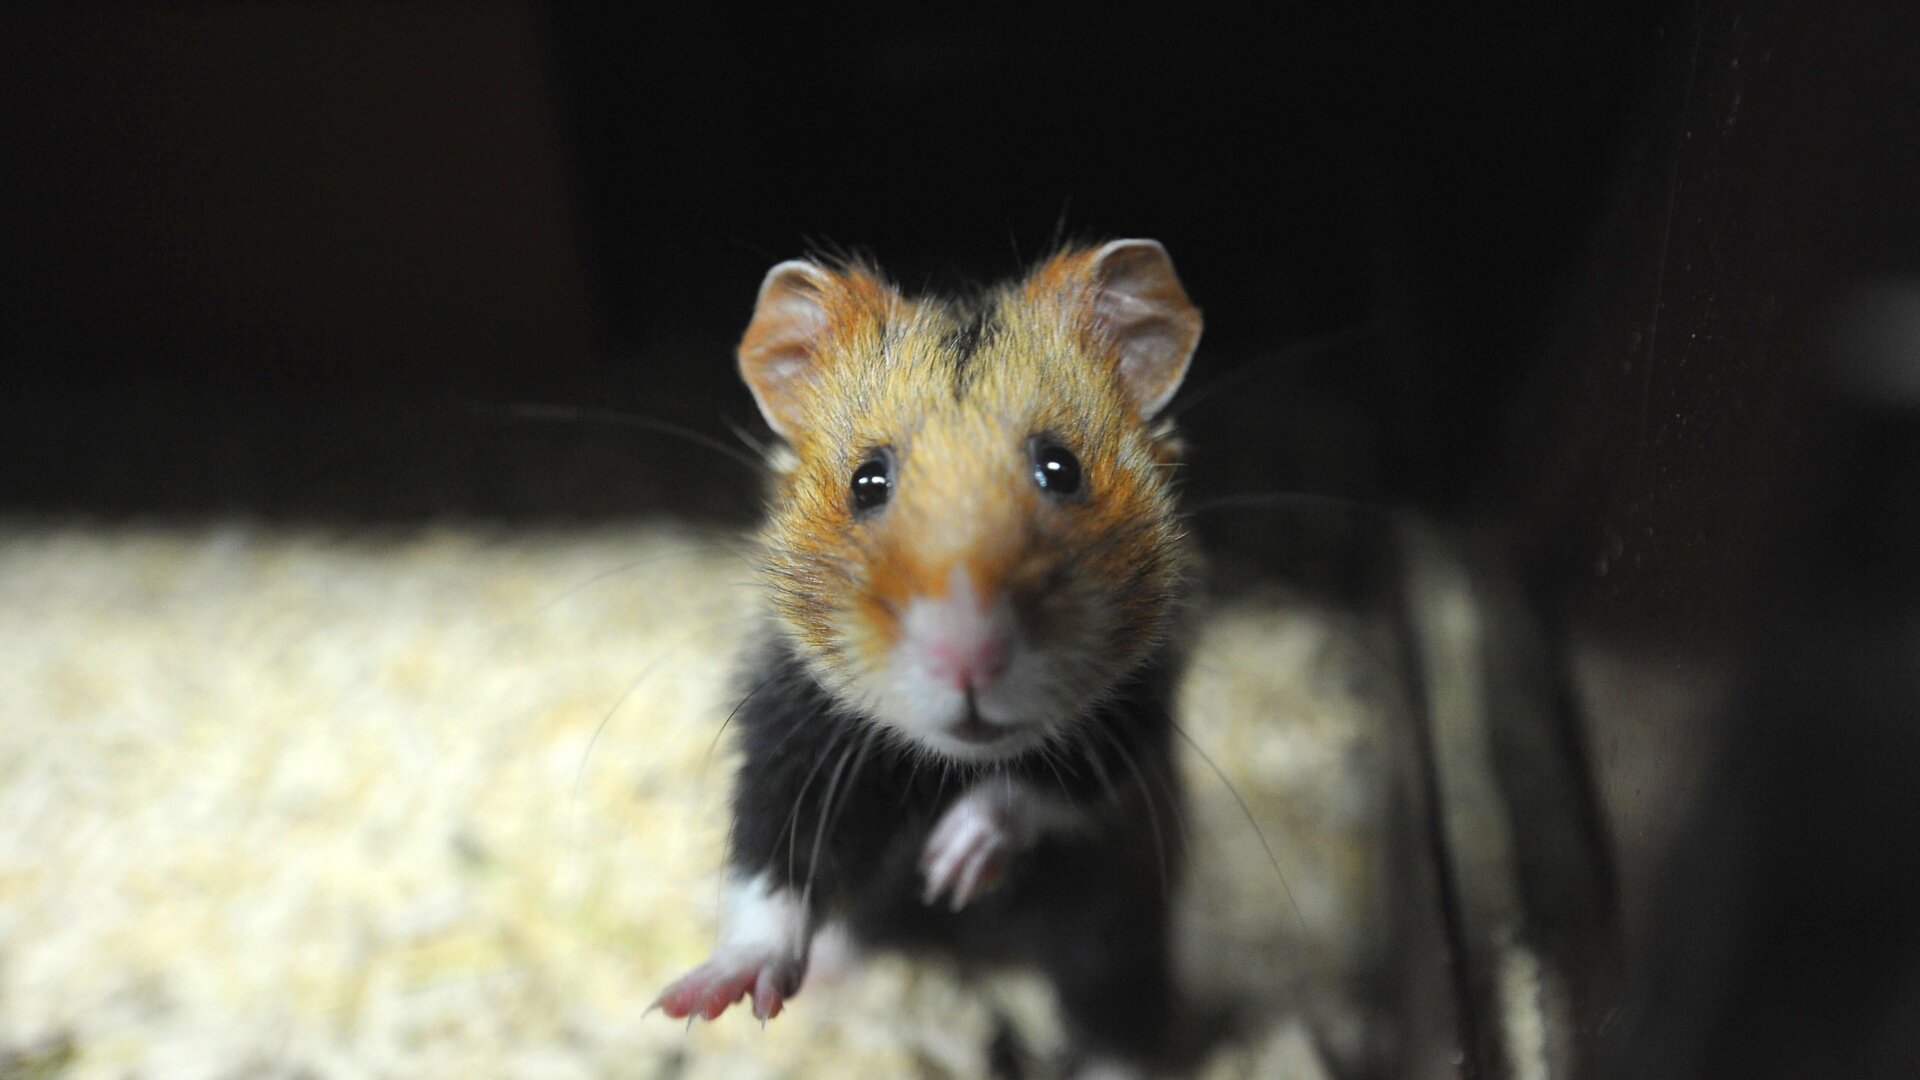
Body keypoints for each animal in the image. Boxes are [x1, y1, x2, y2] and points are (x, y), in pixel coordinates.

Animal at [655, 239, 1204, 1072]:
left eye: (1061, 469)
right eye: (867, 482)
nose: (967, 661)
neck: (951, 761)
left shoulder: (1135, 717)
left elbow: (1039, 789)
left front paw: (952, 865)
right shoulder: (794, 734)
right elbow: (770, 867)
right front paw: (702, 1000)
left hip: (1118, 929)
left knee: (1111, 1010)